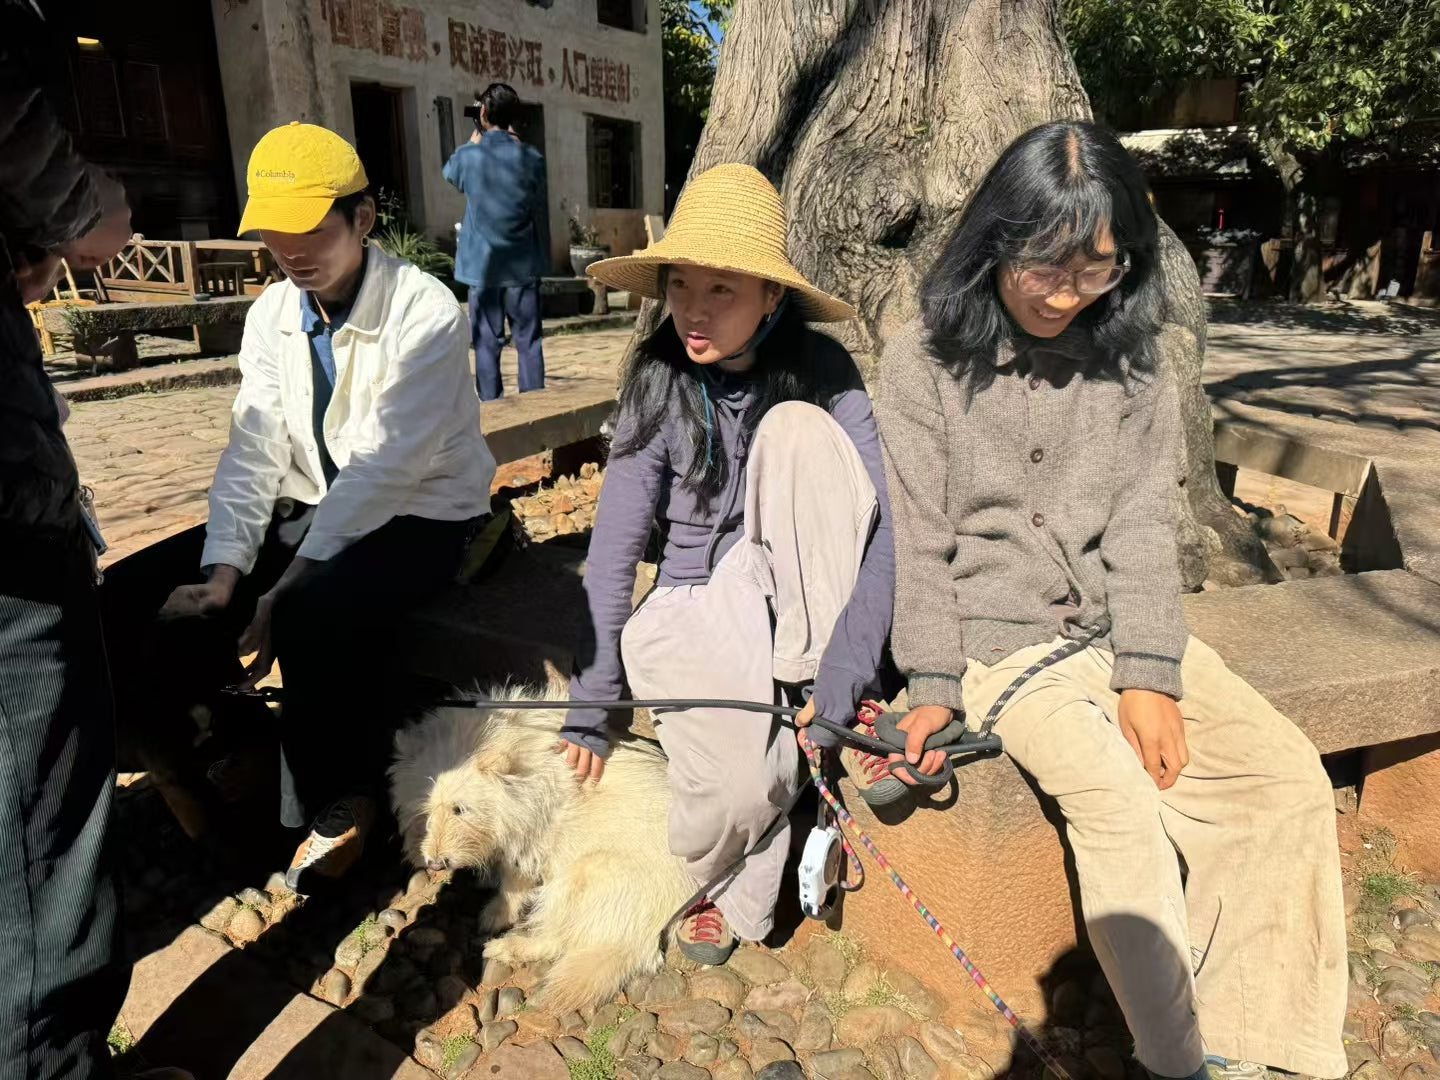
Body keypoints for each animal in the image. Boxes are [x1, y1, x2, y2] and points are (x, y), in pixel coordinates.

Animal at [388, 685, 691, 1013]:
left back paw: (506, 947)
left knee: (556, 937)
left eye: (460, 809)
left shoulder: (529, 841)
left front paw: (496, 913)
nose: (435, 864)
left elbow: (512, 883)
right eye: (424, 809)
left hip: (582, 875)